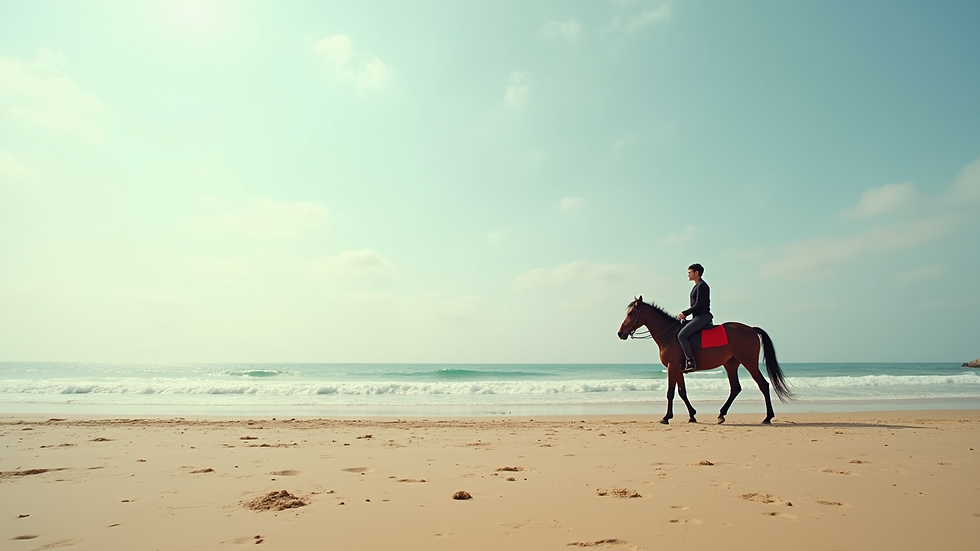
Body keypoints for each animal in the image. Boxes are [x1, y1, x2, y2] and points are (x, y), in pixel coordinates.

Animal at [617, 296, 793, 425]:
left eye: (631, 313)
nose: (620, 333)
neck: (669, 335)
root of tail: (751, 329)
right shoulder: (677, 369)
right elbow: (682, 392)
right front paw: (692, 415)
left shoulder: (671, 367)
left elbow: (670, 392)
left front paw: (666, 417)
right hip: (731, 364)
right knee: (735, 388)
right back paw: (721, 415)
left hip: (749, 362)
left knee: (763, 385)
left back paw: (767, 417)